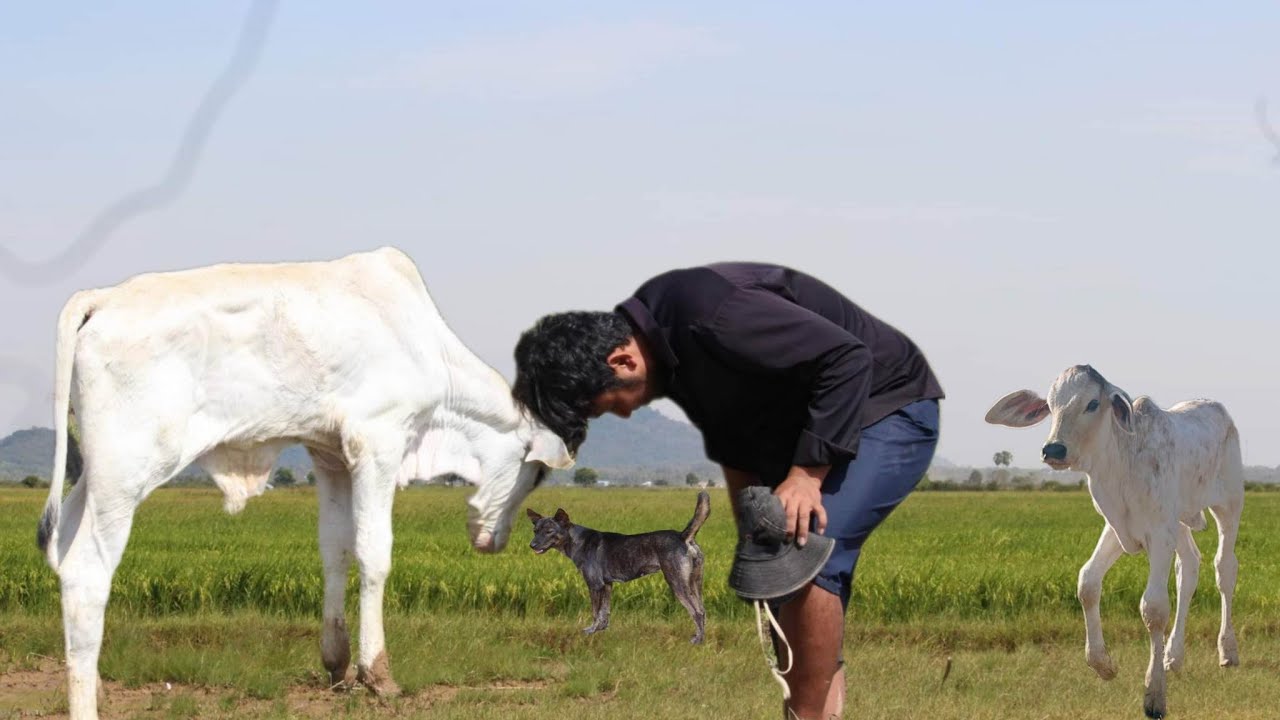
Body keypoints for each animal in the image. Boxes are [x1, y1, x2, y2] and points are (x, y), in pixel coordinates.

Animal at [35, 247, 574, 720]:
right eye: (539, 472)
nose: (496, 541)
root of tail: (100, 298)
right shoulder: (378, 442)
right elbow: (374, 553)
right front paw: (377, 674)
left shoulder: (331, 456)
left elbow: (336, 549)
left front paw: (337, 665)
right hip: (124, 473)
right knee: (86, 571)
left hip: (94, 476)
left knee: (61, 554)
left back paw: (96, 685)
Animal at [985, 365, 1243, 719]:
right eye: (1050, 405)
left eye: (1093, 404)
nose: (1053, 450)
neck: (1122, 463)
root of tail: (1217, 408)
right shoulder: (1117, 530)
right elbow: (1088, 583)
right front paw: (1102, 664)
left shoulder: (1159, 533)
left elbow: (1153, 607)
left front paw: (1154, 693)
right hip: (1179, 523)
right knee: (1188, 566)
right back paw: (1174, 656)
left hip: (1228, 507)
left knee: (1224, 569)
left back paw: (1227, 650)